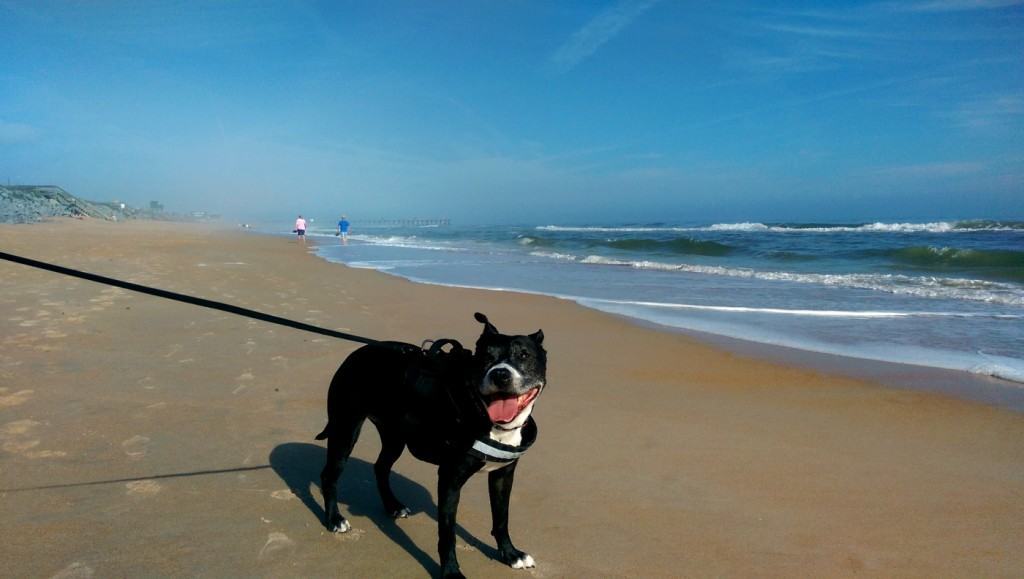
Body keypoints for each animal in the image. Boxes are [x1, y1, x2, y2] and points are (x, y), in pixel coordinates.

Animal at [315, 313, 548, 573]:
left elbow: (501, 518)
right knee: (330, 475)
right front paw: (451, 571)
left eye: (524, 355)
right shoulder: (450, 480)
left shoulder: (503, 476)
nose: (500, 374)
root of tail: (360, 351)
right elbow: (447, 533)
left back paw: (393, 505)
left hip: (394, 437)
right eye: (485, 357)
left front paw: (510, 554)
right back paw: (334, 520)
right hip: (345, 430)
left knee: (381, 467)